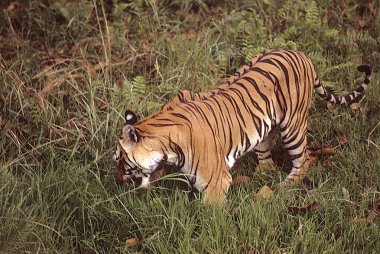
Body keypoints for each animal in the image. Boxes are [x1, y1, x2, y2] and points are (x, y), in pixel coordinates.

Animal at [113, 48, 372, 204]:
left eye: (119, 160)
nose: (117, 183)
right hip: (262, 131)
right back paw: (259, 178)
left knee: (304, 159)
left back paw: (286, 185)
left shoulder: (215, 183)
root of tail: (299, 53)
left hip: (293, 127)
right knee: (267, 161)